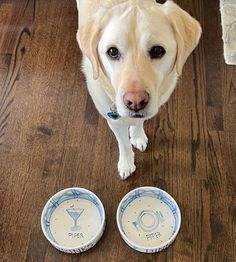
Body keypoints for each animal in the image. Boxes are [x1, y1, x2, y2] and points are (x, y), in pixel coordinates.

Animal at [75, 0, 201, 179]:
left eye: (157, 50)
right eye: (112, 51)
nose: (135, 101)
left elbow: (139, 122)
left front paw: (138, 136)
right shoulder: (114, 122)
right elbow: (124, 144)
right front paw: (126, 163)